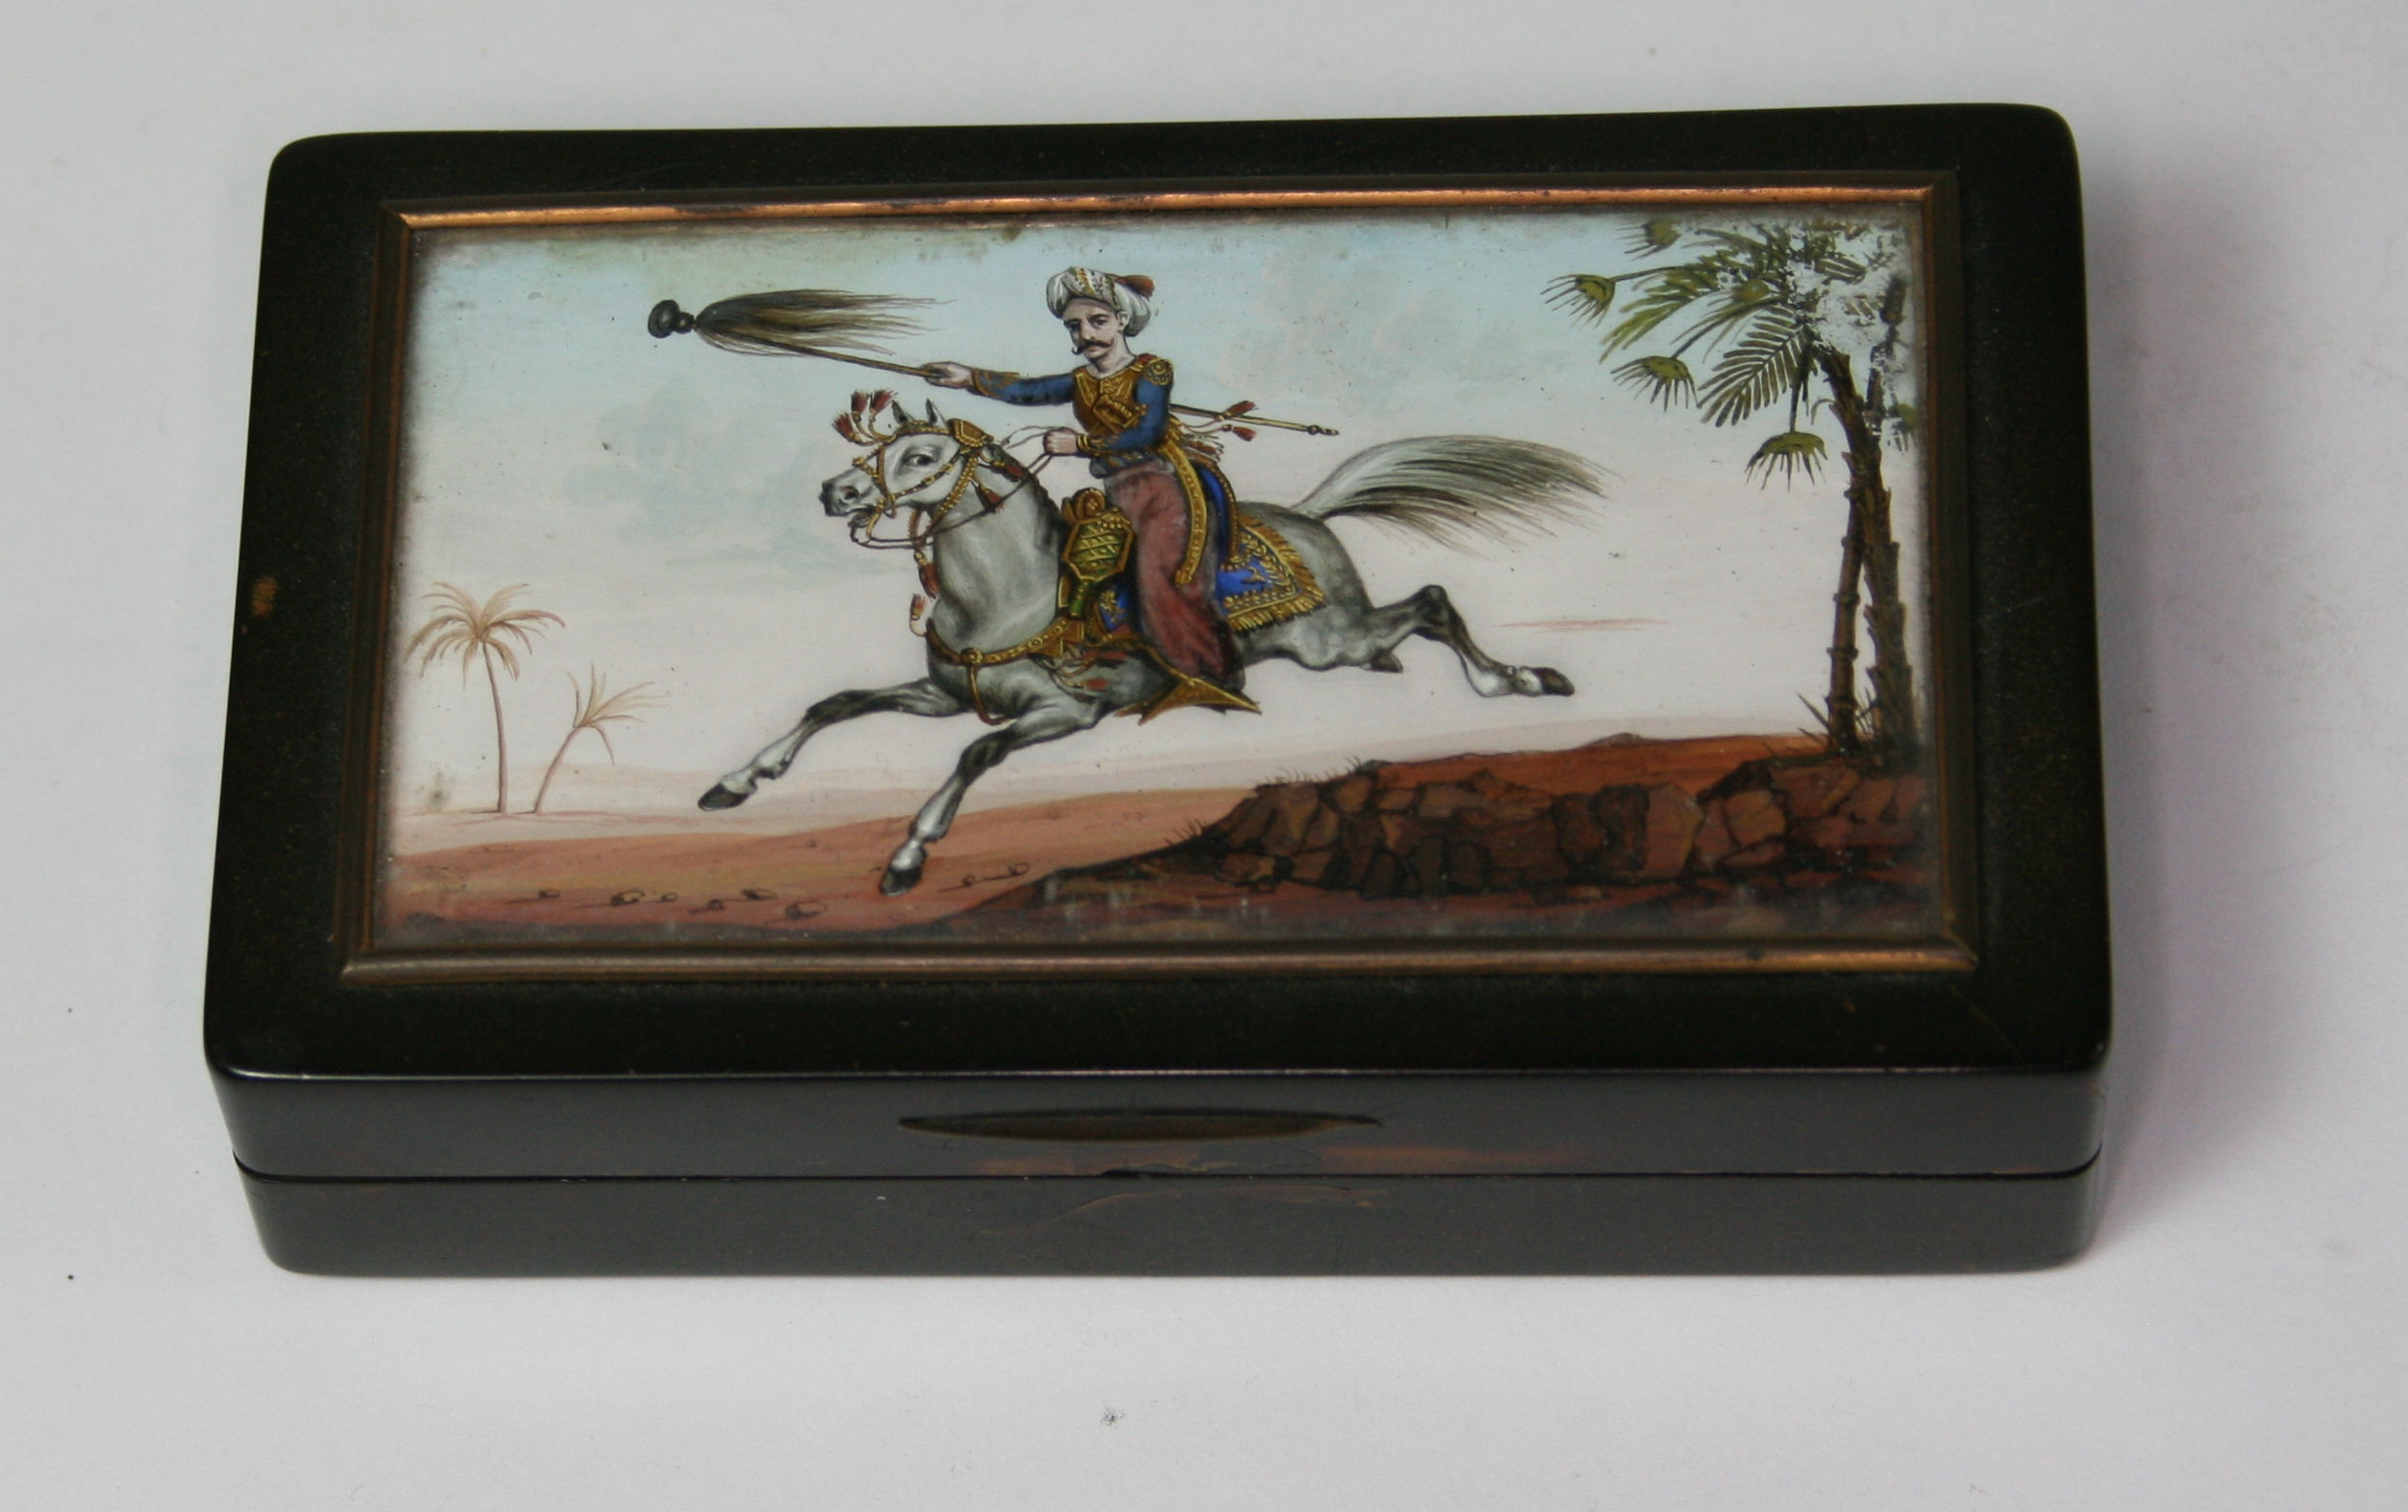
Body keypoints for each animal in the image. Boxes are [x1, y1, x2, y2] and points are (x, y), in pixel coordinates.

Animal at [697, 396, 1606, 896]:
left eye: (920, 455)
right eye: (876, 453)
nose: (836, 491)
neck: (1011, 593)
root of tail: (1309, 515)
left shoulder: (1068, 715)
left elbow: (976, 755)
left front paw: (908, 856)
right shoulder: (943, 697)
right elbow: (836, 701)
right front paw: (737, 782)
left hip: (1329, 642)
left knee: (1432, 601)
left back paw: (1524, 682)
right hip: (1336, 646)